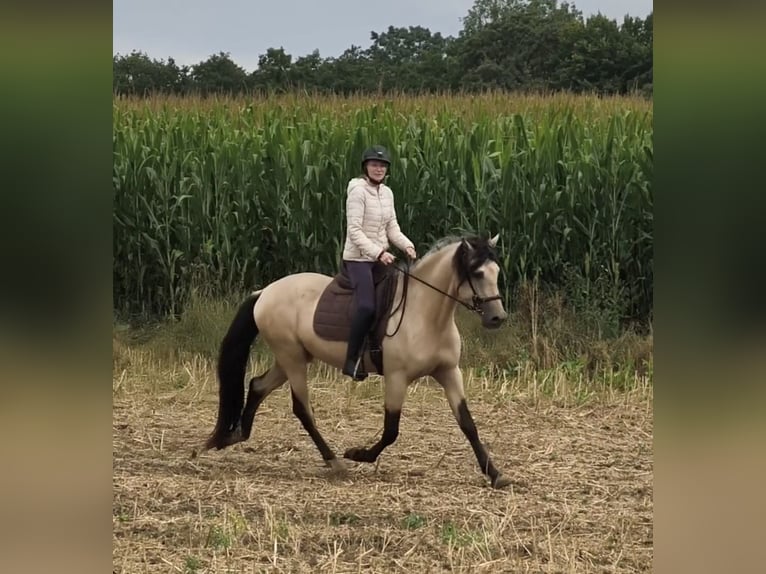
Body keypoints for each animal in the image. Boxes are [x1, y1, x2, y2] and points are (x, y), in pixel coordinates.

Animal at [203, 233, 512, 489]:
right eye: (477, 272)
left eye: (496, 271)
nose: (497, 318)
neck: (425, 315)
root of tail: (264, 292)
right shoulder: (397, 378)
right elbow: (391, 430)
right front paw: (358, 454)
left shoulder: (449, 372)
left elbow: (468, 424)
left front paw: (496, 475)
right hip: (292, 359)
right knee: (302, 409)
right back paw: (335, 462)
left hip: (290, 358)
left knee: (257, 385)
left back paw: (236, 435)